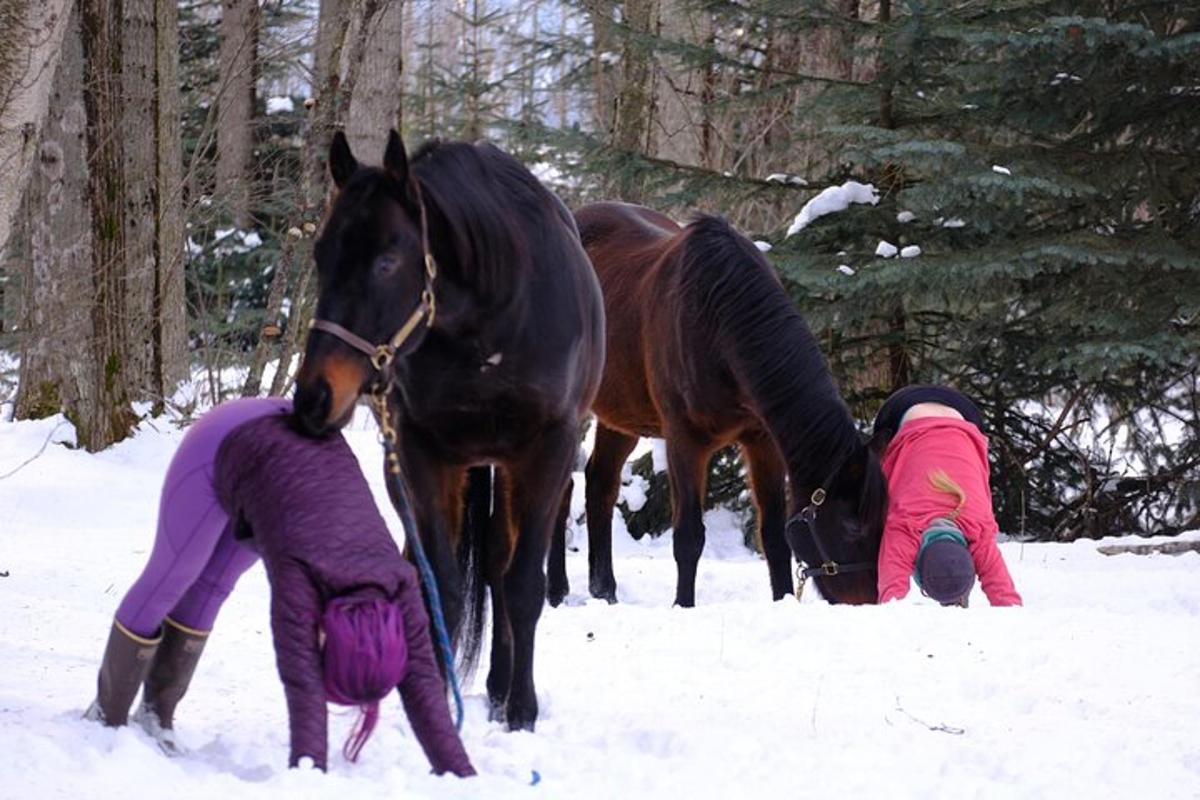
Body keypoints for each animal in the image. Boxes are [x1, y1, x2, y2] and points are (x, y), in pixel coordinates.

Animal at [295, 131, 604, 734]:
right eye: (321, 256)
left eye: (387, 260)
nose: (315, 396)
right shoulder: (421, 454)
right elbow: (441, 583)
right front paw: (433, 705)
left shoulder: (548, 452)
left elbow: (522, 585)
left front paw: (522, 710)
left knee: (501, 570)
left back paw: (503, 689)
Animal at [549, 200, 888, 606]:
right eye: (852, 526)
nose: (870, 600)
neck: (715, 318)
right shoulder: (684, 441)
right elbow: (688, 537)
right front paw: (683, 605)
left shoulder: (762, 440)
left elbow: (774, 535)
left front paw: (781, 600)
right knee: (562, 491)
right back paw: (555, 591)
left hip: (622, 414)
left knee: (600, 484)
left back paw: (605, 592)